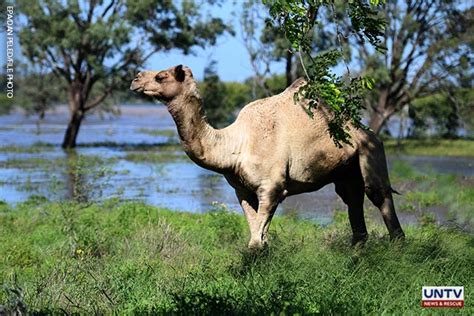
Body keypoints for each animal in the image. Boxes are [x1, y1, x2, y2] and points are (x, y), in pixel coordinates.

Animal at [131, 65, 406, 249]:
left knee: (378, 194)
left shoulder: (272, 186)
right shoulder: (241, 189)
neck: (236, 145)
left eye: (161, 76)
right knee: (353, 202)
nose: (135, 79)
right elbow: (257, 238)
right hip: (346, 170)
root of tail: (368, 132)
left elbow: (256, 242)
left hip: (370, 151)